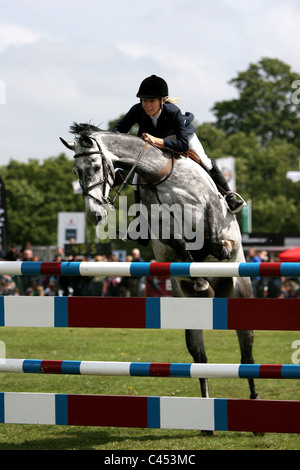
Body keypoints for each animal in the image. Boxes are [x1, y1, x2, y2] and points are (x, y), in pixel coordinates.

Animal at [59, 123, 258, 406]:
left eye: (96, 166)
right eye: (76, 171)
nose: (94, 215)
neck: (158, 175)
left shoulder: (209, 209)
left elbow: (214, 237)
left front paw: (220, 248)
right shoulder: (160, 226)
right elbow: (181, 245)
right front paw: (199, 280)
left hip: (240, 288)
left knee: (246, 346)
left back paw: (253, 395)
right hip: (186, 302)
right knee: (199, 356)